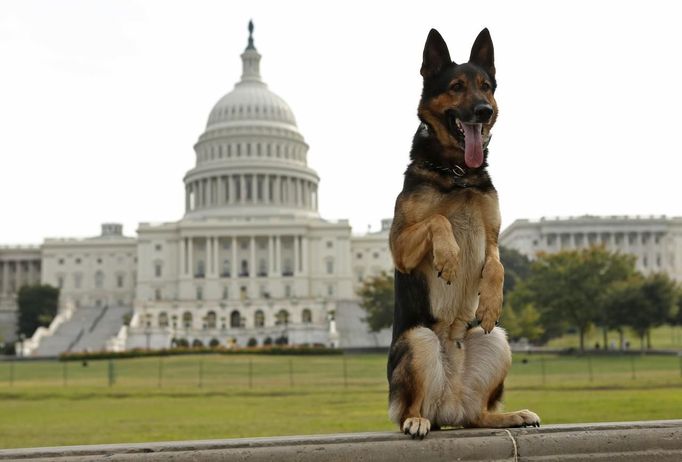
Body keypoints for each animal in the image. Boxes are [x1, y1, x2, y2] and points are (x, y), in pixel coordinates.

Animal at [386, 27, 540, 438]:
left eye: (486, 87)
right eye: (456, 86)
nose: (483, 111)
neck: (458, 174)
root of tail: (447, 405)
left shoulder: (494, 236)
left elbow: (498, 266)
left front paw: (490, 302)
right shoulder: (399, 246)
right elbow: (438, 221)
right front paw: (449, 257)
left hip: (496, 342)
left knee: (478, 414)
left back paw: (511, 416)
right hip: (418, 339)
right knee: (409, 410)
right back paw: (416, 421)